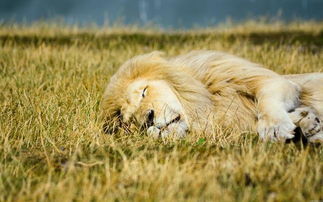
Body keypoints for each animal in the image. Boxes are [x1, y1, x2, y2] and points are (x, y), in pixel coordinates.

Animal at [101, 50, 323, 142]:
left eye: (144, 92)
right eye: (132, 121)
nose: (149, 119)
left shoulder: (270, 81)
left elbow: (266, 102)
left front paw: (275, 127)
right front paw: (308, 122)